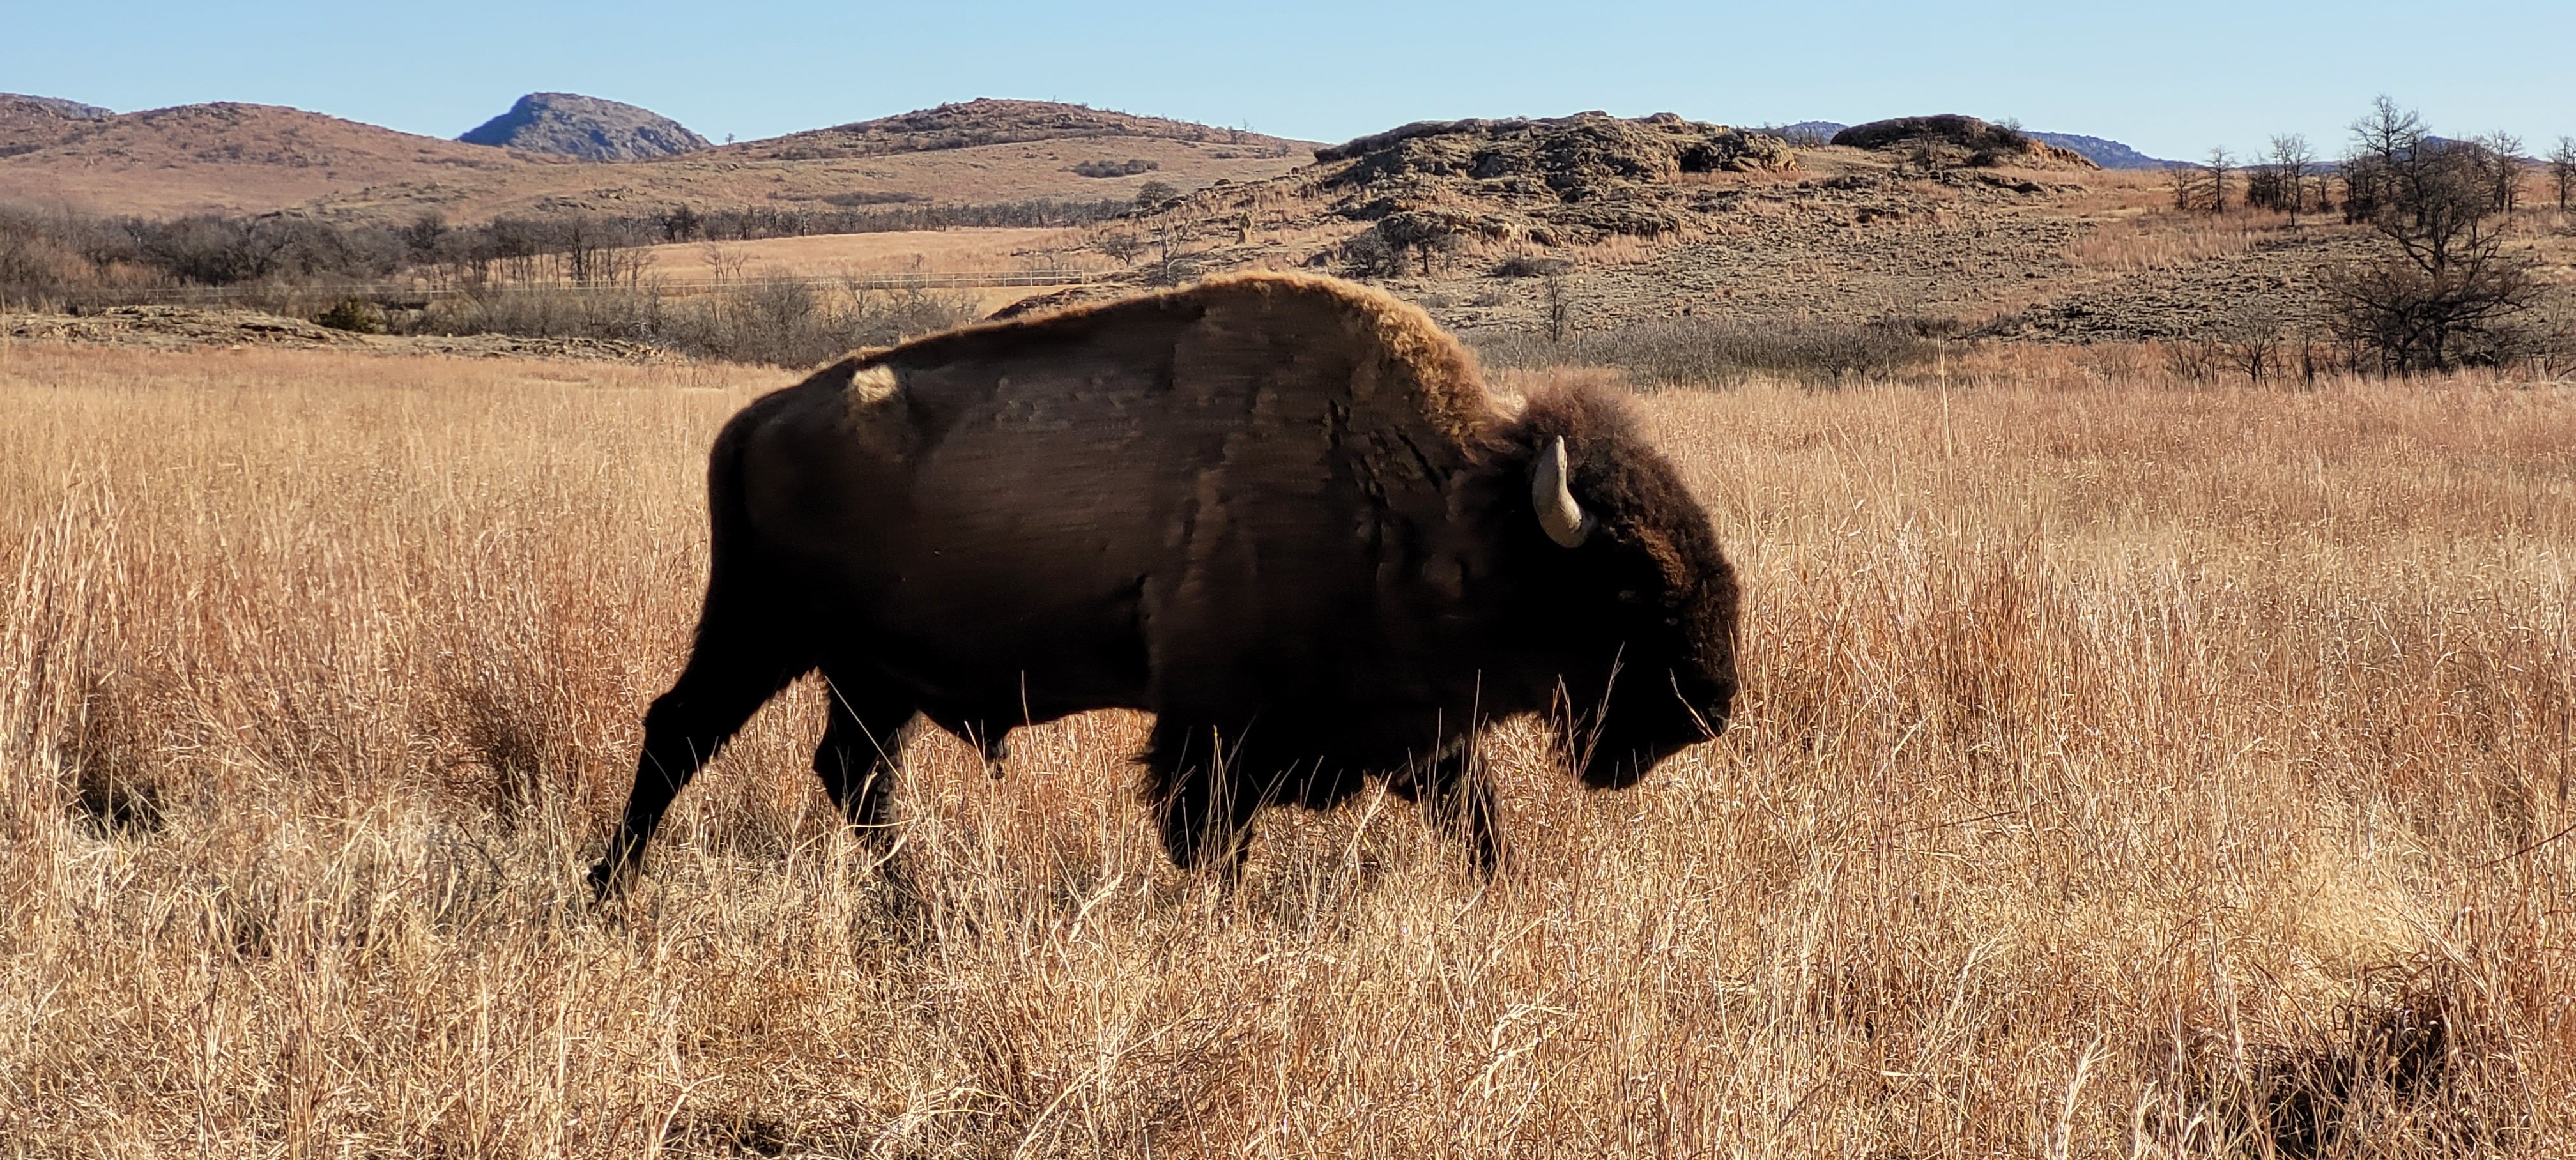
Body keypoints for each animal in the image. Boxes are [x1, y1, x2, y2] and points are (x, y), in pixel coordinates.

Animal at [591, 272, 1739, 891]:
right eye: (1625, 588)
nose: (1710, 707)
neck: (1433, 508)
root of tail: (752, 420)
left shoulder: (1418, 730)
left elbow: (1478, 824)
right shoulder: (1214, 732)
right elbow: (1210, 842)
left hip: (868, 674)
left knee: (853, 773)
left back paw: (908, 904)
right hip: (760, 631)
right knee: (679, 730)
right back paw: (611, 893)